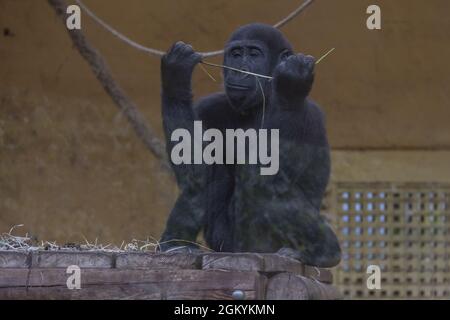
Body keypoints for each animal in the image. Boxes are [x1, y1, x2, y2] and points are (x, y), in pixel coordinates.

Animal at [160, 23, 340, 268]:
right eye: (236, 55)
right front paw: (176, 78)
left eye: (254, 54)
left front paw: (291, 86)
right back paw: (175, 244)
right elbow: (195, 169)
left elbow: (270, 177)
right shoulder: (209, 107)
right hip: (226, 243)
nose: (240, 71)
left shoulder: (309, 115)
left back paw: (322, 252)